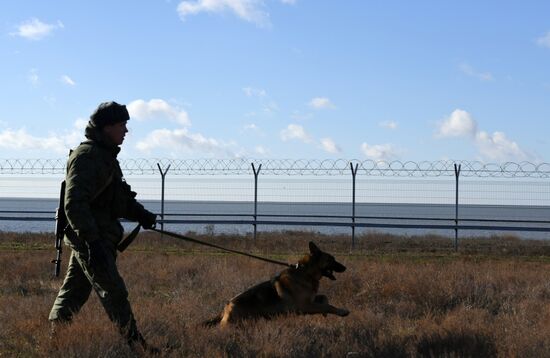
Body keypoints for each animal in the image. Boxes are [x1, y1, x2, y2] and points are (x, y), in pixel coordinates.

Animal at [205, 241, 352, 328]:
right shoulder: (306, 306)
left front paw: (325, 313)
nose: (345, 267)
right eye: (331, 259)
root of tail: (226, 306)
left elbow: (324, 298)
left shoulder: (310, 301)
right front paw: (341, 311)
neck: (305, 272)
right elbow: (328, 306)